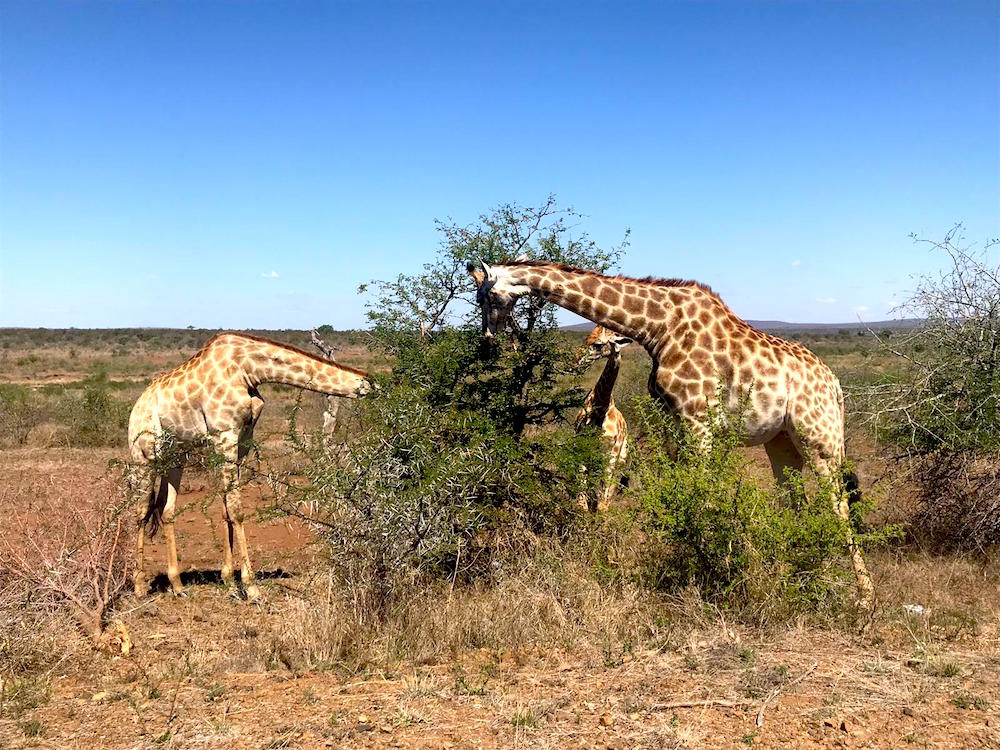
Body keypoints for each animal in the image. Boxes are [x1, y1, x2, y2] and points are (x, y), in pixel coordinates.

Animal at [128, 332, 372, 604]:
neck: (248, 370)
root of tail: (136, 406)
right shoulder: (224, 435)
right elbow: (236, 510)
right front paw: (251, 587)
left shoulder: (243, 440)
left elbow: (226, 509)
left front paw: (229, 581)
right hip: (142, 456)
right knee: (141, 510)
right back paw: (139, 586)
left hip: (176, 457)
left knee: (166, 510)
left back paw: (178, 585)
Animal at [576, 326, 628, 516]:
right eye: (586, 338)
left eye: (598, 344)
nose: (577, 359)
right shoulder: (582, 444)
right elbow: (582, 474)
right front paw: (582, 506)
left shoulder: (611, 452)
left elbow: (606, 481)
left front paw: (601, 509)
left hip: (622, 456)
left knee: (611, 481)